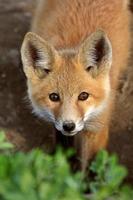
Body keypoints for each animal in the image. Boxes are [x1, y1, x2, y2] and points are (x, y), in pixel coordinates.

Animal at [20, 0, 130, 170]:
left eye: (83, 96)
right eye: (54, 97)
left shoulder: (97, 127)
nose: (69, 126)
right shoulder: (57, 126)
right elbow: (63, 152)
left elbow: (89, 169)